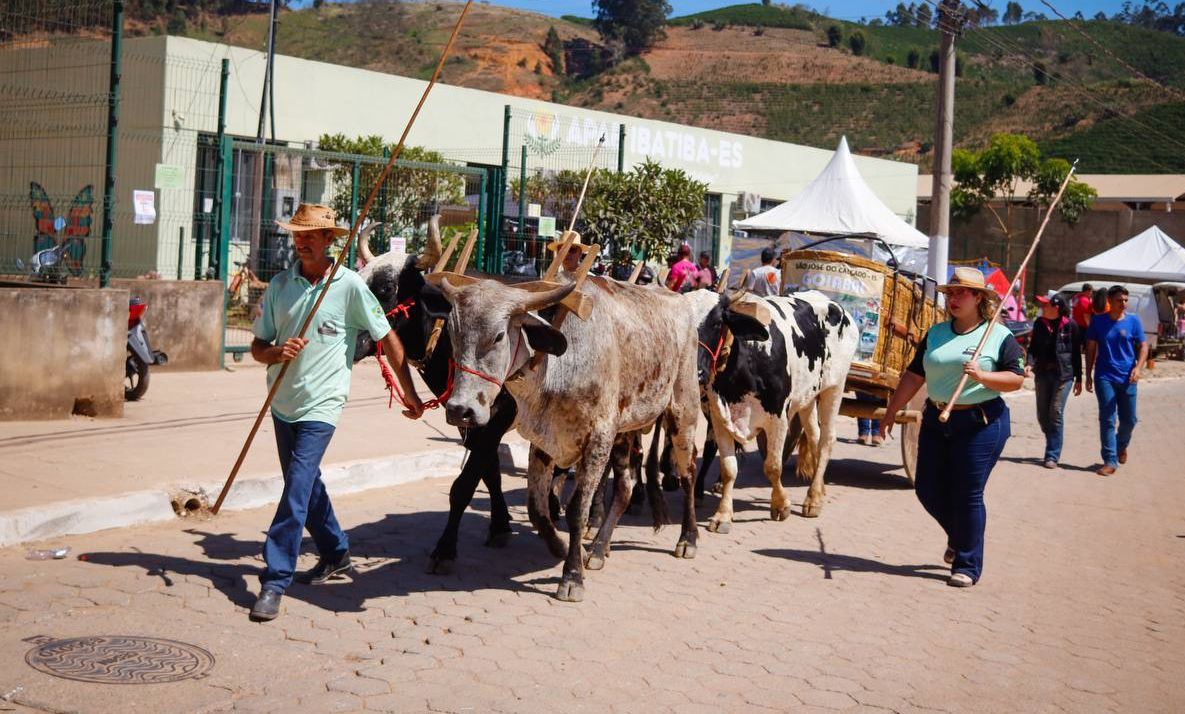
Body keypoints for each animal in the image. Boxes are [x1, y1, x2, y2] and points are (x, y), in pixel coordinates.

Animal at [692, 290, 862, 530]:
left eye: (717, 323)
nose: (696, 372)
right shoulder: (719, 416)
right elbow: (728, 468)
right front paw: (723, 515)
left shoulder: (778, 416)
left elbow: (772, 466)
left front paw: (781, 505)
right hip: (807, 397)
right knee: (814, 437)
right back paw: (818, 491)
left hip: (834, 387)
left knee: (827, 440)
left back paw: (812, 500)